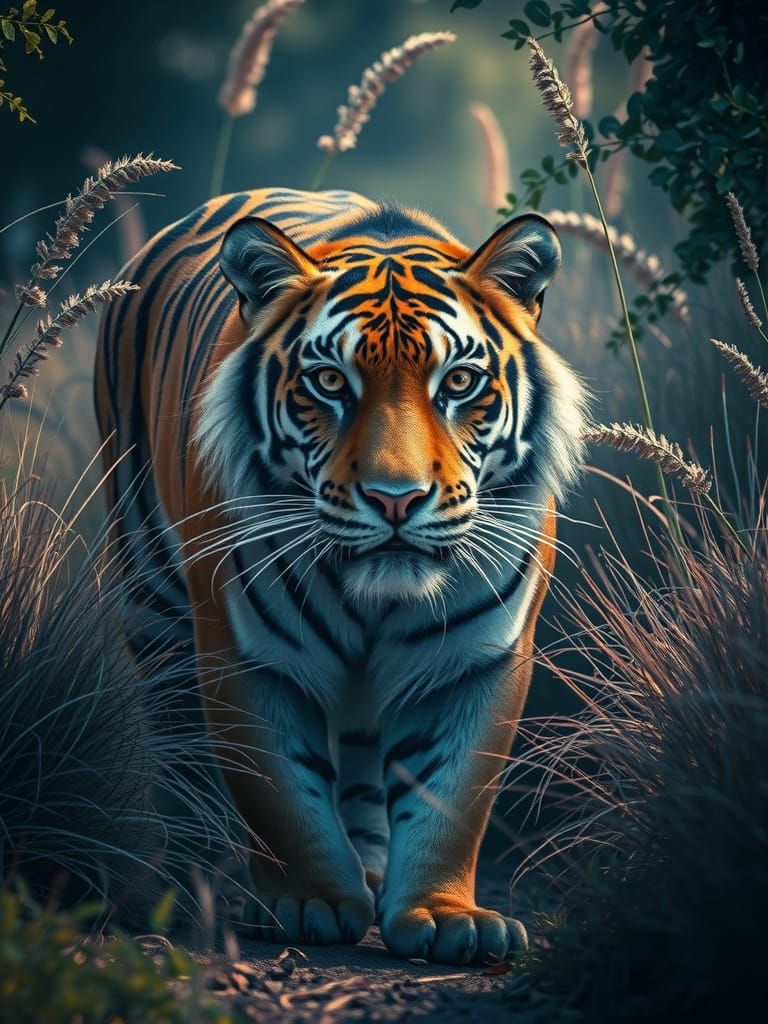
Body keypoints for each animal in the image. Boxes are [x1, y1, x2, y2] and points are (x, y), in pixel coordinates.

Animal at [95, 186, 587, 965]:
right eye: (329, 382)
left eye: (458, 382)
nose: (396, 498)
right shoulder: (243, 653)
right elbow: (279, 790)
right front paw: (312, 902)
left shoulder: (476, 658)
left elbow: (452, 794)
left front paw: (445, 915)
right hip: (152, 599)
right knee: (176, 745)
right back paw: (179, 884)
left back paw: (372, 870)